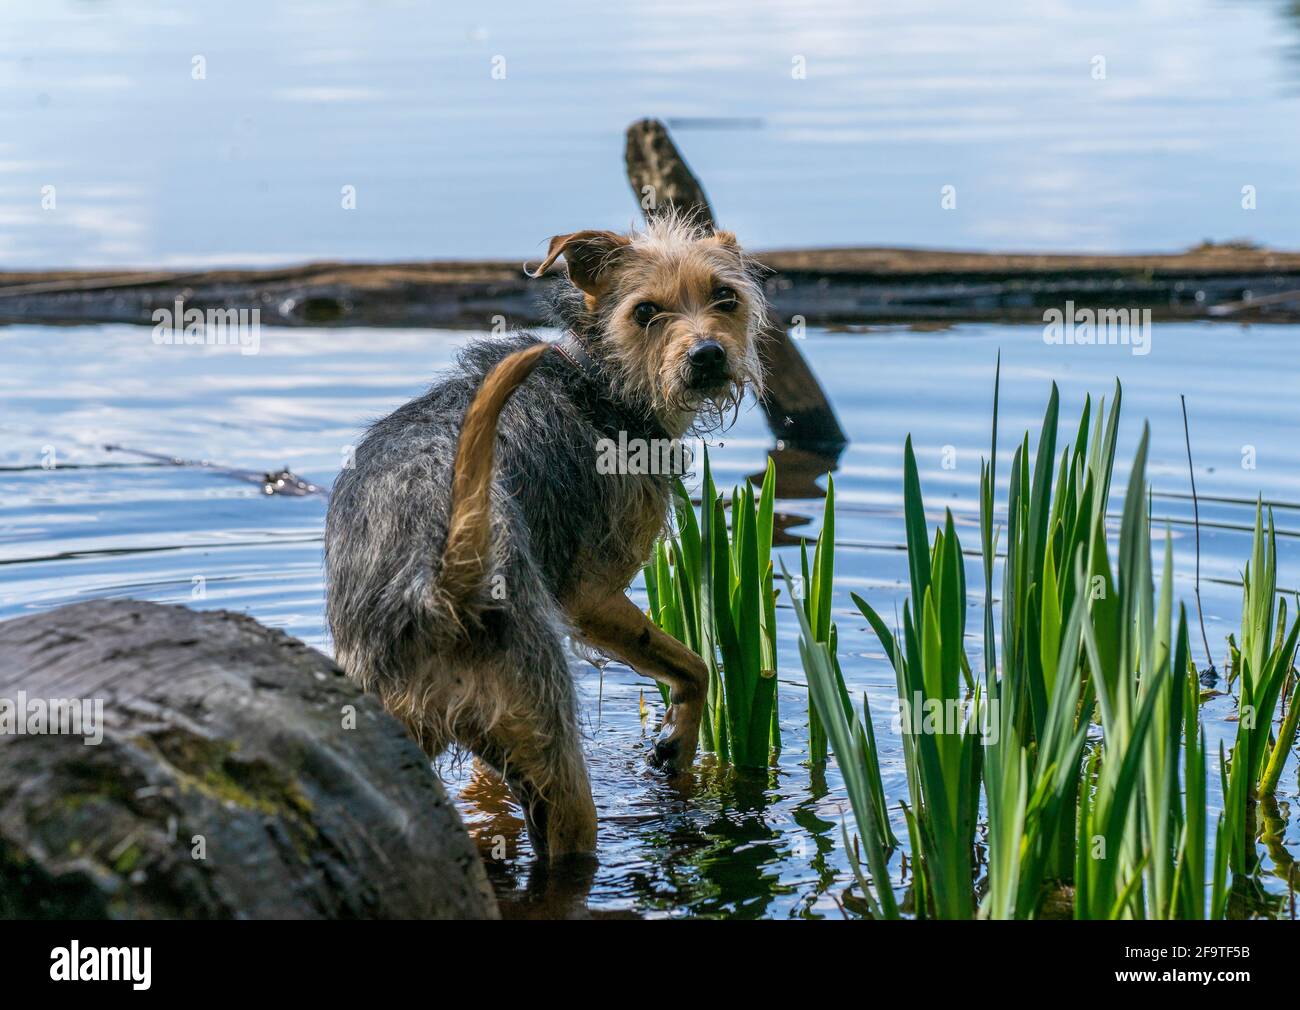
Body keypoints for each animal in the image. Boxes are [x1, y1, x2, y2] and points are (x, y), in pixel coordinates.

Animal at [323, 213, 764, 857]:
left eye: (725, 297)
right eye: (645, 311)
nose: (708, 355)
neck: (599, 381)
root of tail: (440, 580)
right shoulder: (591, 598)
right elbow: (695, 665)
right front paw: (676, 741)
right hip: (555, 757)